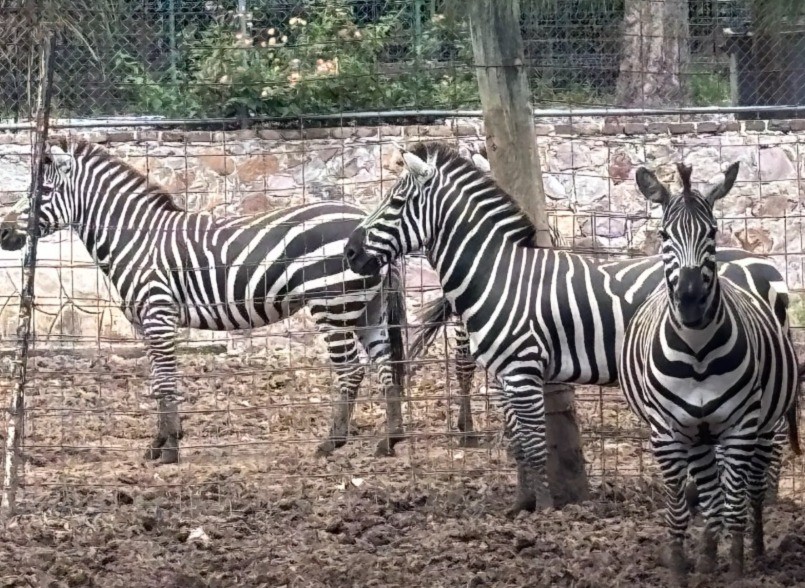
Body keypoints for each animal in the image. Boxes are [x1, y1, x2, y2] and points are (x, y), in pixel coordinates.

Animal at [0, 138, 408, 464]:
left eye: (41, 192)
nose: (3, 232)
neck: (135, 237)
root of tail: (363, 220)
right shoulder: (146, 323)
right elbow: (157, 379)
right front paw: (160, 442)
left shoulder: (158, 313)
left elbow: (165, 380)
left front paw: (169, 449)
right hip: (368, 308)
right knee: (386, 366)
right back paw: (390, 441)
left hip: (332, 303)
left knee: (351, 370)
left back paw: (331, 442)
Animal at [343, 141, 797, 516]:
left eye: (396, 201)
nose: (348, 251)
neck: (496, 273)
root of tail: (770, 269)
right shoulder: (504, 374)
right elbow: (516, 445)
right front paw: (520, 505)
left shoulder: (522, 369)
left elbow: (533, 444)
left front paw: (544, 510)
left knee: (770, 434)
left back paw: (766, 501)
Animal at [619, 162, 800, 583]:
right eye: (664, 235)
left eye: (712, 232)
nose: (689, 301)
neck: (697, 351)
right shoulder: (666, 433)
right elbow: (680, 510)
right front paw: (682, 571)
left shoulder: (740, 427)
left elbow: (734, 504)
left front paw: (735, 570)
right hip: (699, 436)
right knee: (711, 495)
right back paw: (705, 558)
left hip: (764, 427)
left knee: (752, 490)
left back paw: (757, 551)